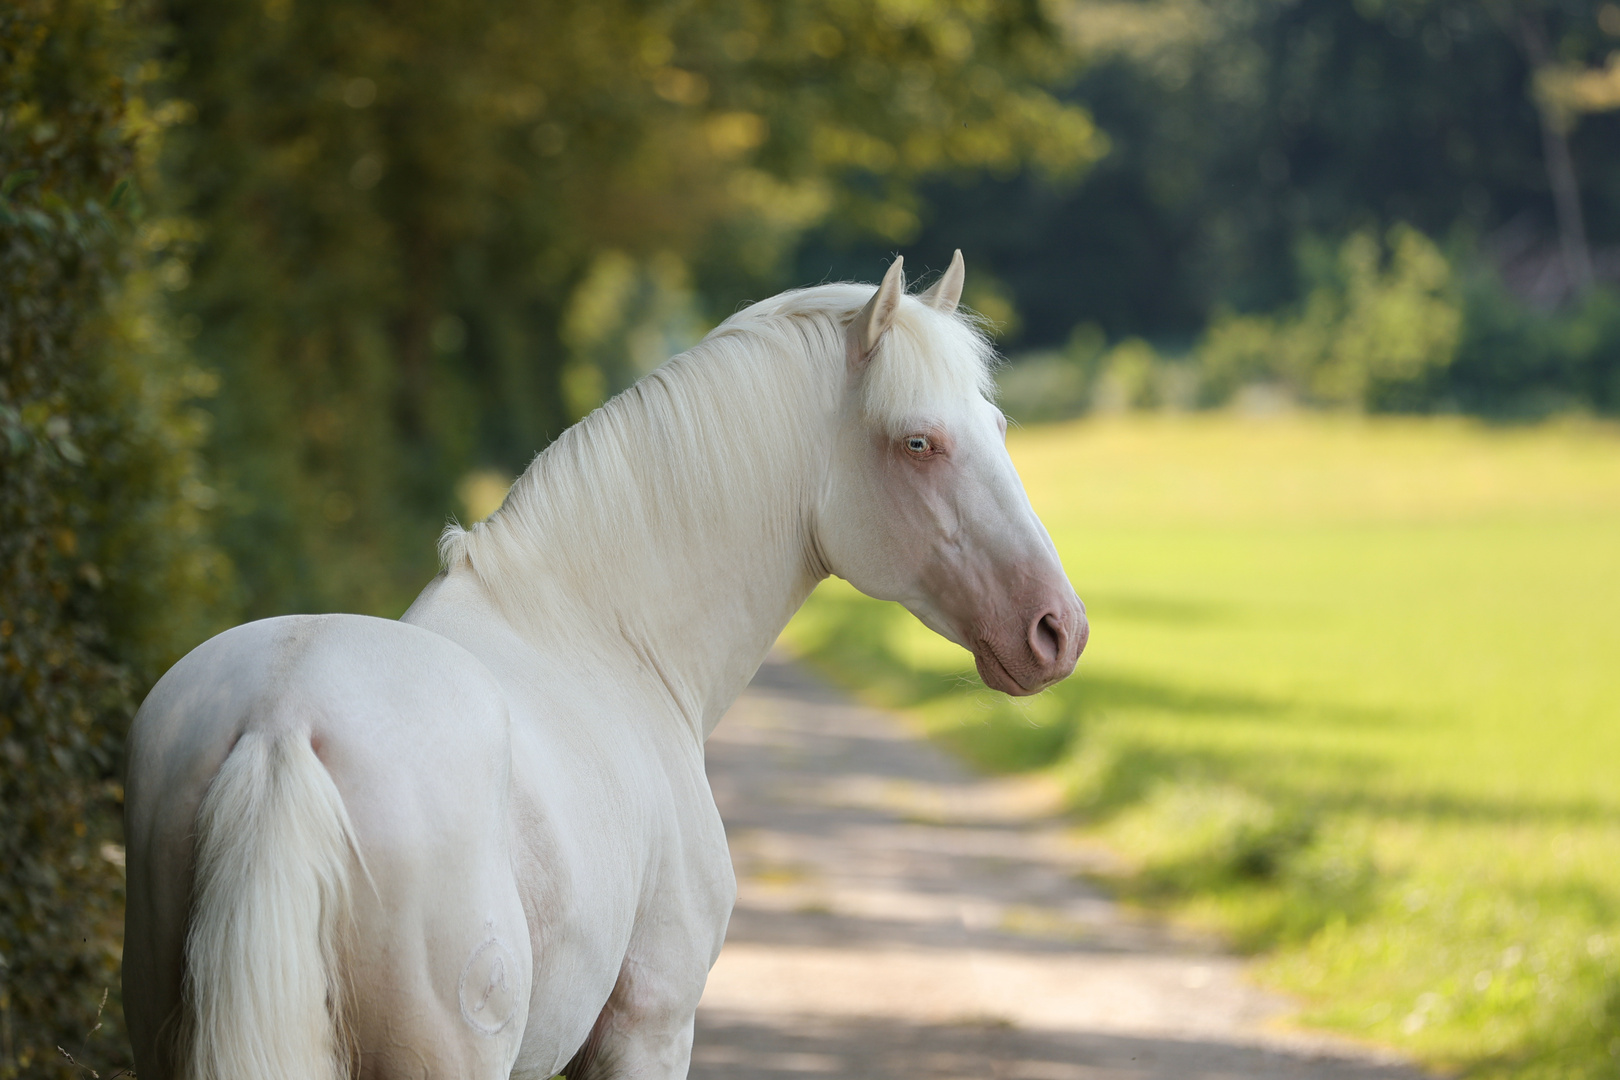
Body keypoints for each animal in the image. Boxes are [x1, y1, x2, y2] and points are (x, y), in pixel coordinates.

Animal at [123, 254, 1088, 1080]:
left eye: (996, 424)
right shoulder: (650, 1026)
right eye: (919, 442)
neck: (610, 638)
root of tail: (281, 723)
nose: (1058, 629)